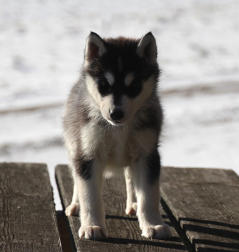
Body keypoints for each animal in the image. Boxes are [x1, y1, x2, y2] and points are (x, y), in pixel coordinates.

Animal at [63, 32, 171, 240]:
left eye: (135, 86)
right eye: (104, 85)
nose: (116, 113)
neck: (118, 129)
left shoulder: (147, 154)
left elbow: (149, 195)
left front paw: (152, 224)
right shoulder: (88, 153)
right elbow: (90, 195)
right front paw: (92, 226)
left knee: (130, 179)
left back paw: (133, 205)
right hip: (75, 147)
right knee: (76, 178)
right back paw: (75, 205)